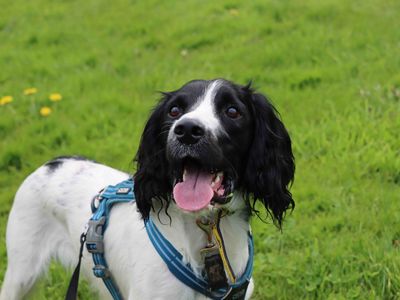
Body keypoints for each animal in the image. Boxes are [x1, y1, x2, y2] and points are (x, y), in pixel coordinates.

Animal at [0, 78, 294, 298]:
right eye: (174, 111)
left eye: (232, 111)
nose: (187, 130)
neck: (207, 229)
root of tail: (53, 161)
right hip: (21, 272)